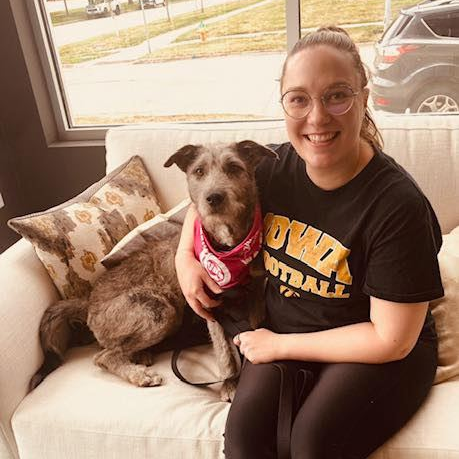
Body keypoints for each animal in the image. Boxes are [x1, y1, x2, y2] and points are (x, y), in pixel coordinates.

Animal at [31, 140, 277, 401]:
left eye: (234, 167)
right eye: (198, 171)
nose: (214, 197)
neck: (227, 247)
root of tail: (88, 302)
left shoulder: (256, 293)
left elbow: (253, 327)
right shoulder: (208, 304)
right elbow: (224, 353)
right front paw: (230, 383)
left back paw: (141, 356)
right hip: (160, 309)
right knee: (103, 356)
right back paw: (139, 374)